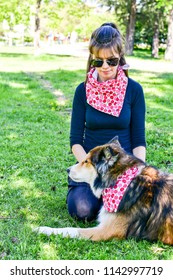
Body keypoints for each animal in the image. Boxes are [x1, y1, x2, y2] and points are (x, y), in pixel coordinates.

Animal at [34, 139, 173, 244]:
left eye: (86, 161)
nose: (67, 170)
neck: (118, 179)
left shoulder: (104, 231)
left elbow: (70, 229)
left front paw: (42, 229)